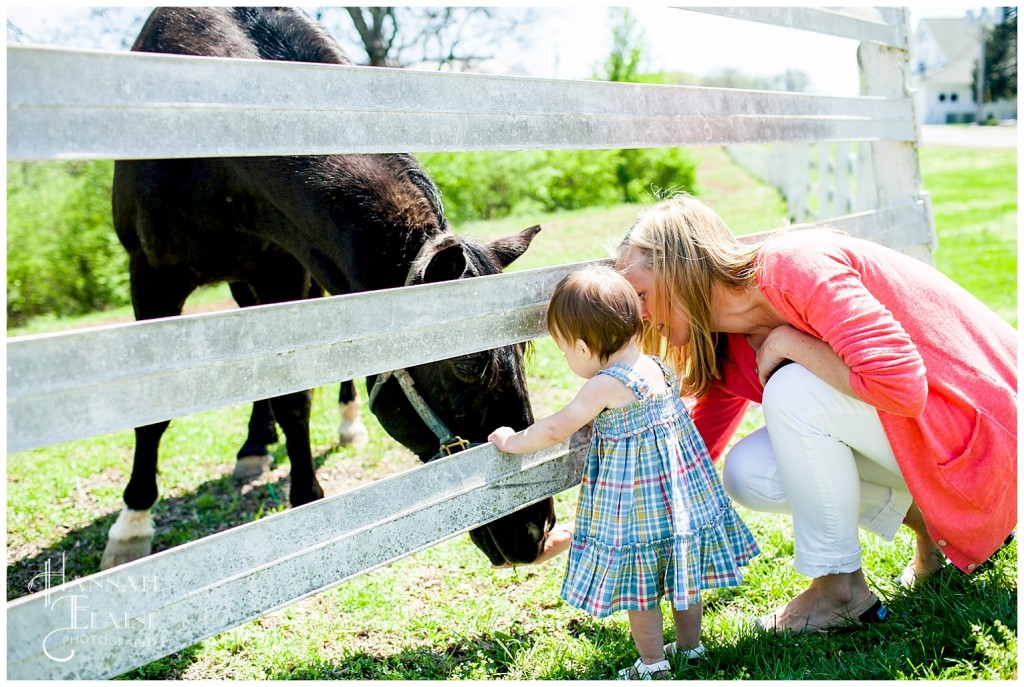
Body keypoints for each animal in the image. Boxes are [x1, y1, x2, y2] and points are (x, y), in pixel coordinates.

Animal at [103, 6, 552, 569]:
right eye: (468, 364)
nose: (535, 529)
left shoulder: (283, 270)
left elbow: (295, 398)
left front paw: (306, 499)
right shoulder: (151, 276)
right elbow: (154, 413)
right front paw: (132, 523)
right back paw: (254, 447)